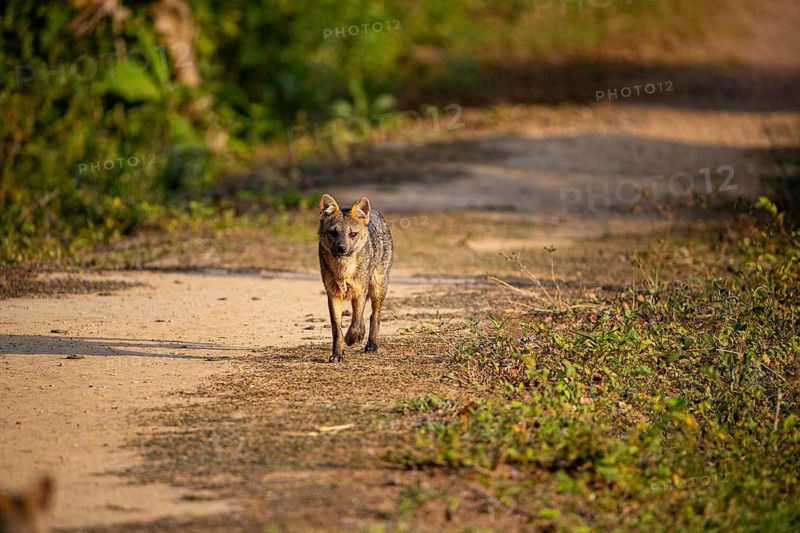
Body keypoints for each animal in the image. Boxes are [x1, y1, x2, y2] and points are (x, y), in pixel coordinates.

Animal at [318, 194, 393, 362]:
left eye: (352, 234)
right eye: (333, 233)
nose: (342, 248)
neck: (343, 270)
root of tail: (376, 213)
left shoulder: (360, 291)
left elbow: (355, 323)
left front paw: (350, 339)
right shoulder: (333, 294)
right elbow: (337, 328)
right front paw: (337, 353)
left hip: (378, 288)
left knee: (374, 316)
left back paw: (371, 345)